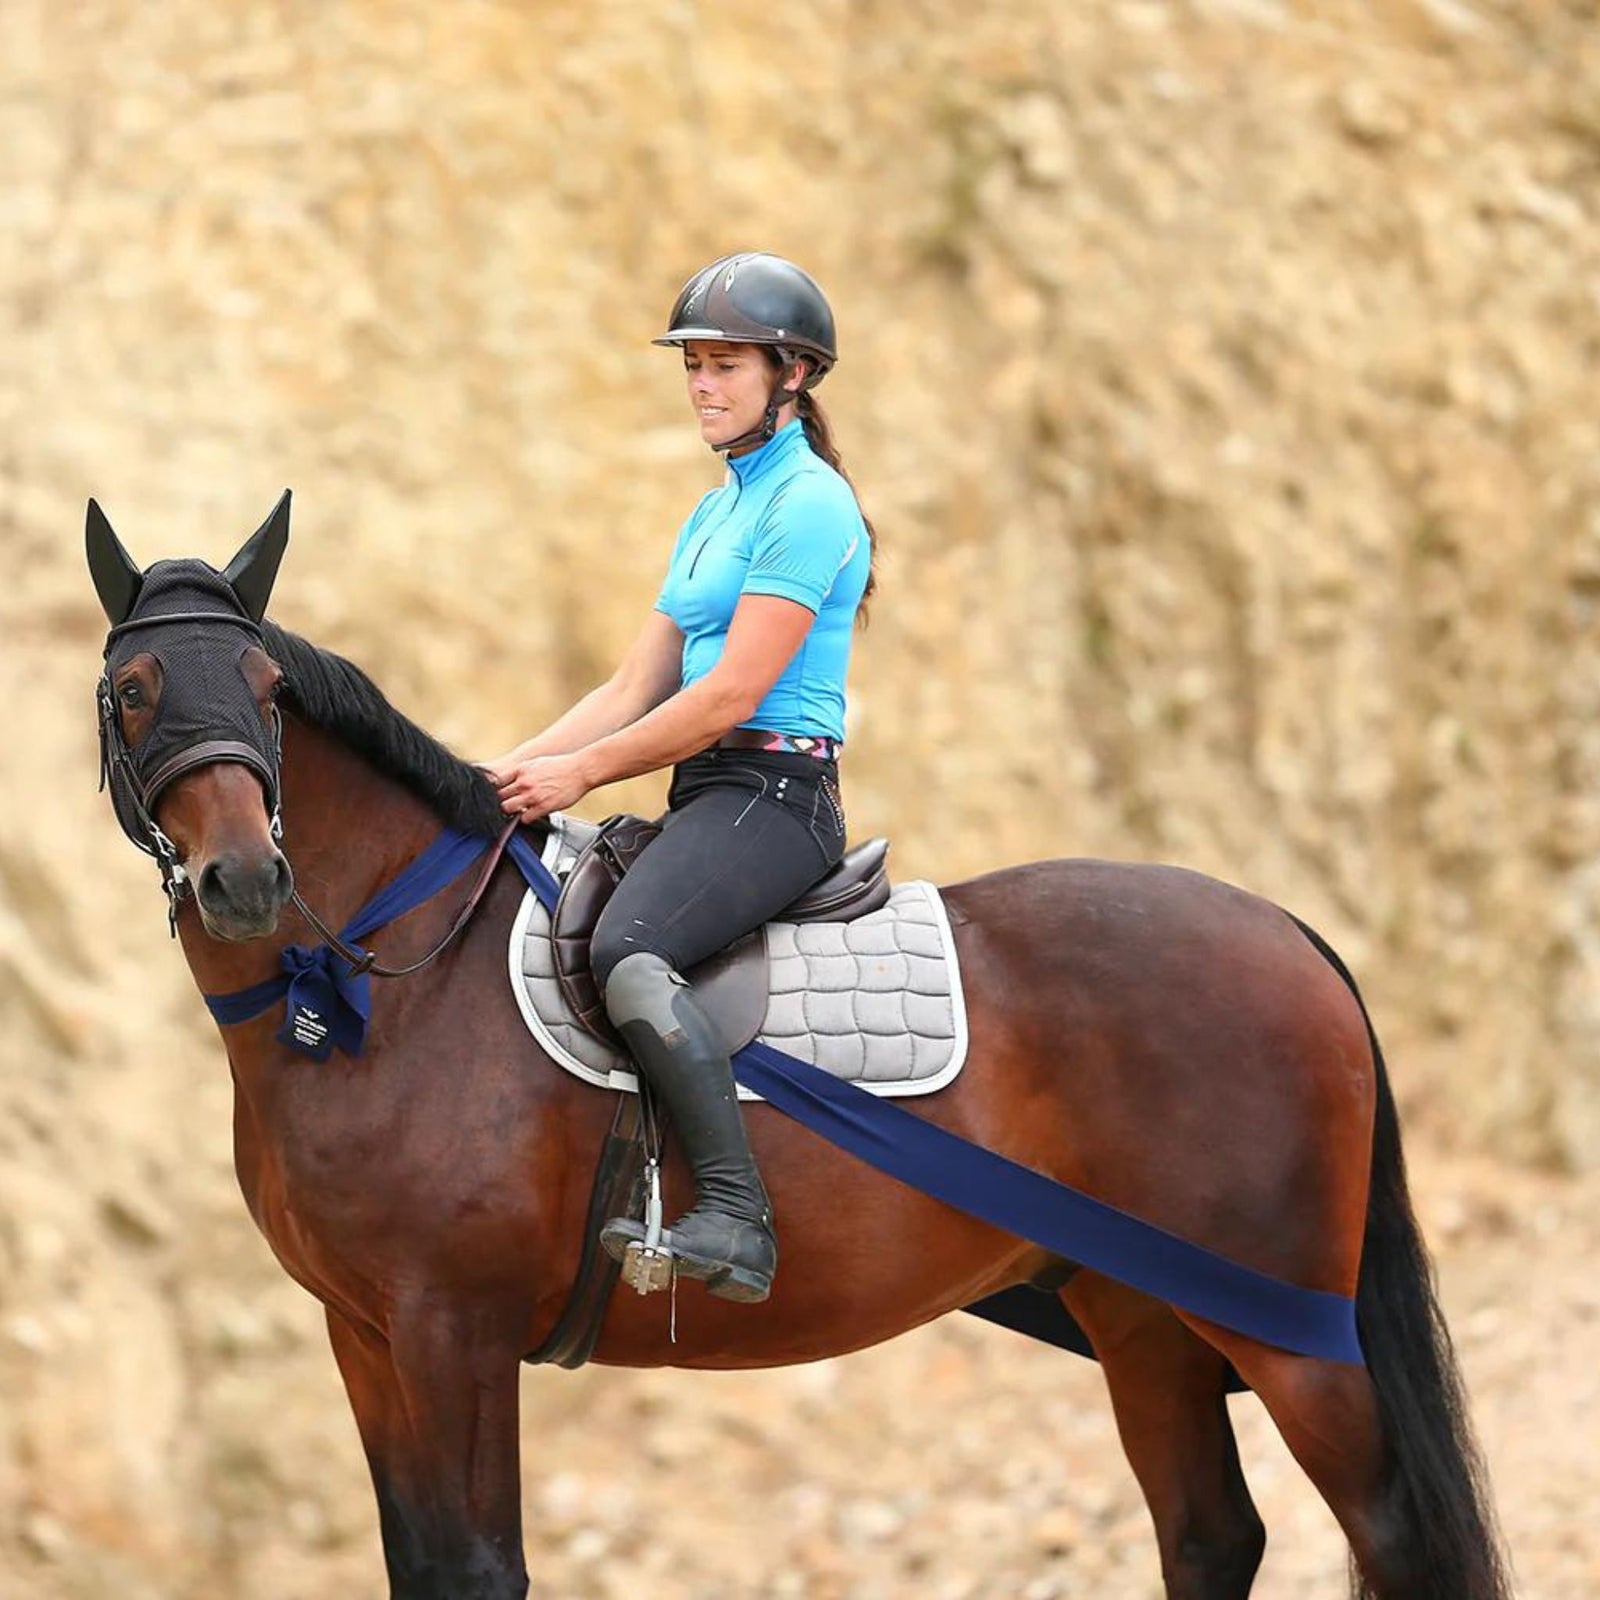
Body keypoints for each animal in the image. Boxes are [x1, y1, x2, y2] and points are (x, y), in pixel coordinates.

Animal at [86, 496, 1508, 1600]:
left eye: (269, 693)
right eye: (135, 689)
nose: (245, 882)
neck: (384, 987)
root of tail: (1281, 926)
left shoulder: (453, 1328)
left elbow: (479, 1568)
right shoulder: (366, 1334)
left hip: (1288, 1336)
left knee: (1387, 1535)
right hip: (1143, 1313)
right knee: (1210, 1535)